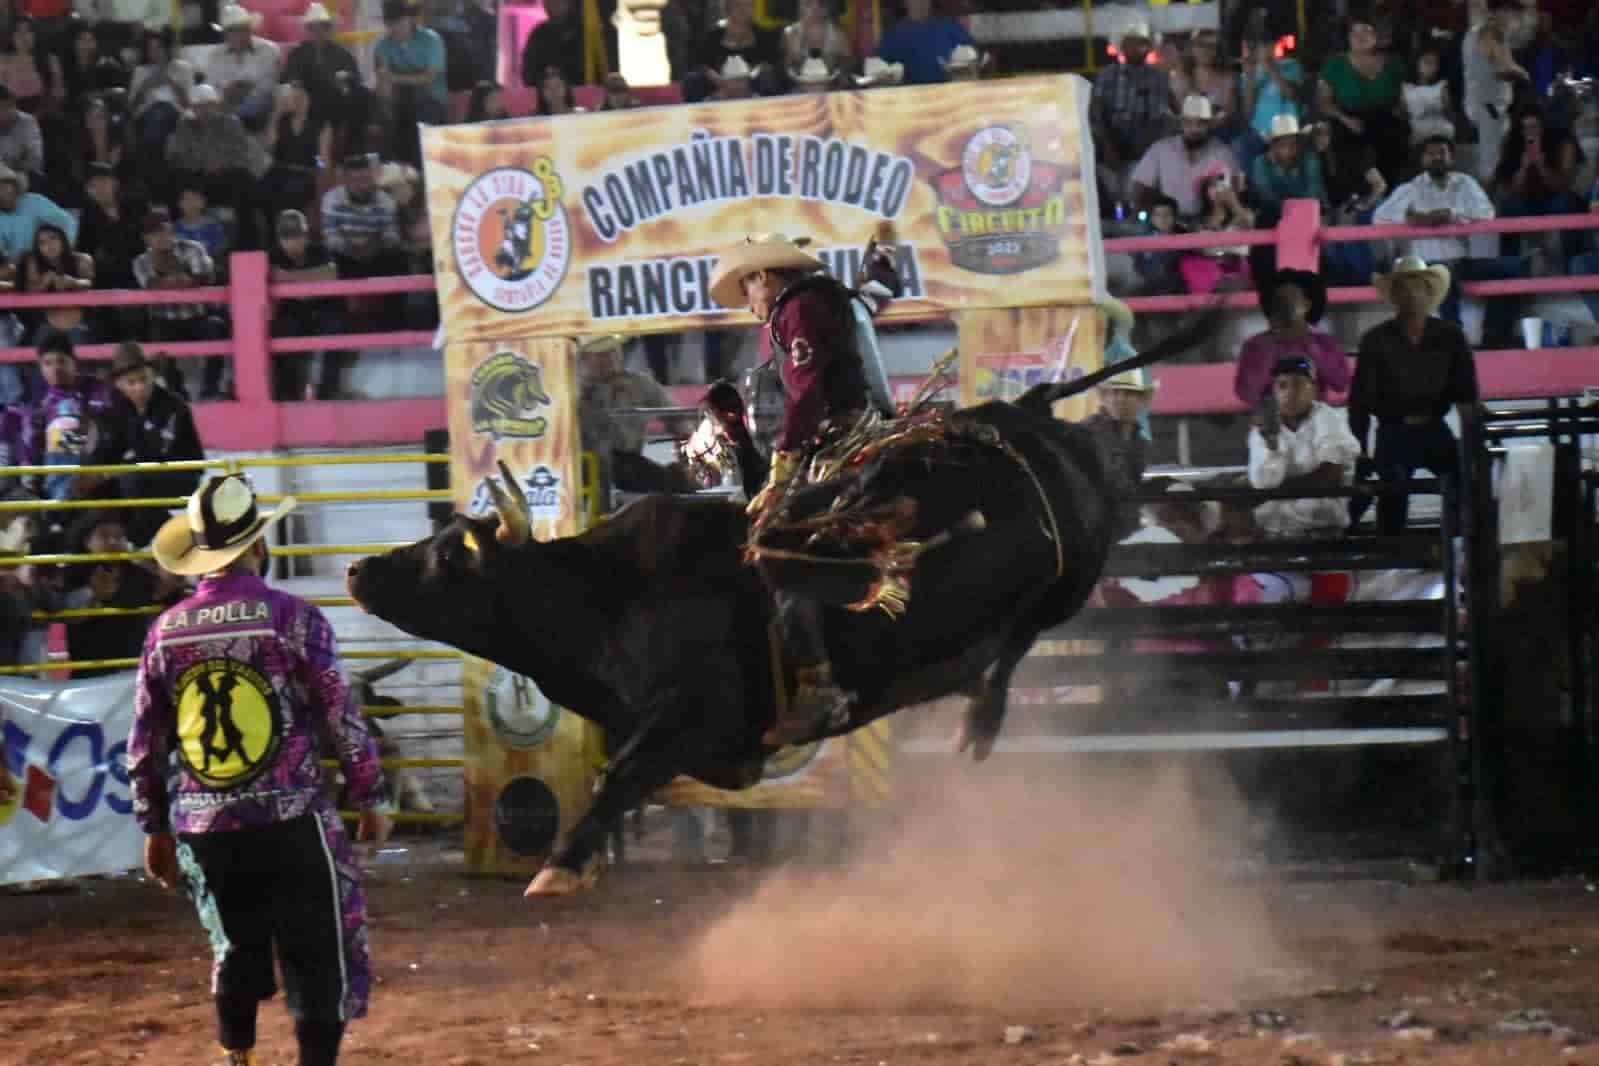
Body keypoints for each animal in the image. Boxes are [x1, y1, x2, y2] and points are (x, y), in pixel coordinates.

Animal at [350, 310, 1215, 894]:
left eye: (443, 557)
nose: (358, 569)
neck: (606, 592)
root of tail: (1027, 411)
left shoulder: (685, 714)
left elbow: (620, 774)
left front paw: (560, 866)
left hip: (1065, 570)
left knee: (1027, 629)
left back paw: (980, 715)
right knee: (1007, 643)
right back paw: (974, 713)